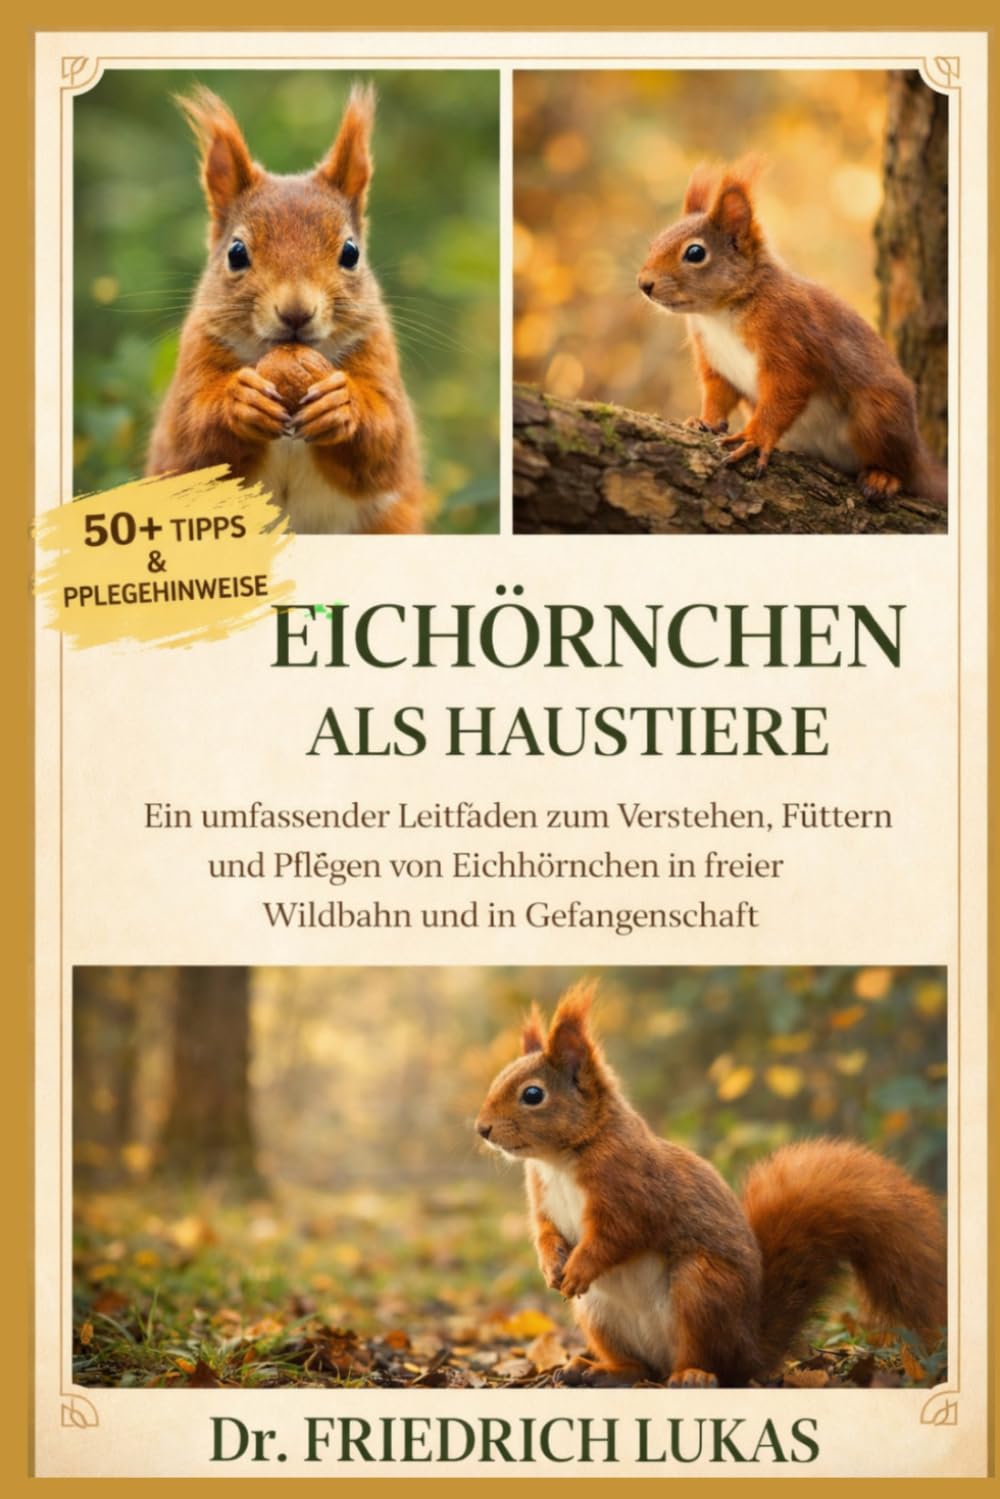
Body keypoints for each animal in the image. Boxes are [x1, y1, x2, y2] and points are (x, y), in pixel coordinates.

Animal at [145, 84, 424, 535]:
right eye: (236, 253)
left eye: (351, 252)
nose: (296, 312)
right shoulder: (195, 357)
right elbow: (189, 441)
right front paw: (240, 401)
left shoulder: (377, 353)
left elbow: (388, 444)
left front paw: (341, 404)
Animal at [475, 983, 947, 1388]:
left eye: (533, 1095)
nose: (482, 1129)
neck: (560, 1160)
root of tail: (751, 1349)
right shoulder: (542, 1197)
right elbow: (545, 1231)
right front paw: (550, 1264)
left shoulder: (632, 1189)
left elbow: (616, 1235)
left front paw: (577, 1268)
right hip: (599, 1314)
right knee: (639, 1367)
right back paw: (599, 1369)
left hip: (702, 1290)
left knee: (706, 1362)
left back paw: (692, 1375)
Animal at [636, 160, 947, 506]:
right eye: (654, 243)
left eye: (694, 253)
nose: (644, 284)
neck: (719, 314)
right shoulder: (714, 360)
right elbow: (718, 392)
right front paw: (705, 421)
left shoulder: (791, 338)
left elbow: (784, 395)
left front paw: (754, 438)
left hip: (878, 415)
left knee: (900, 466)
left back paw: (884, 477)